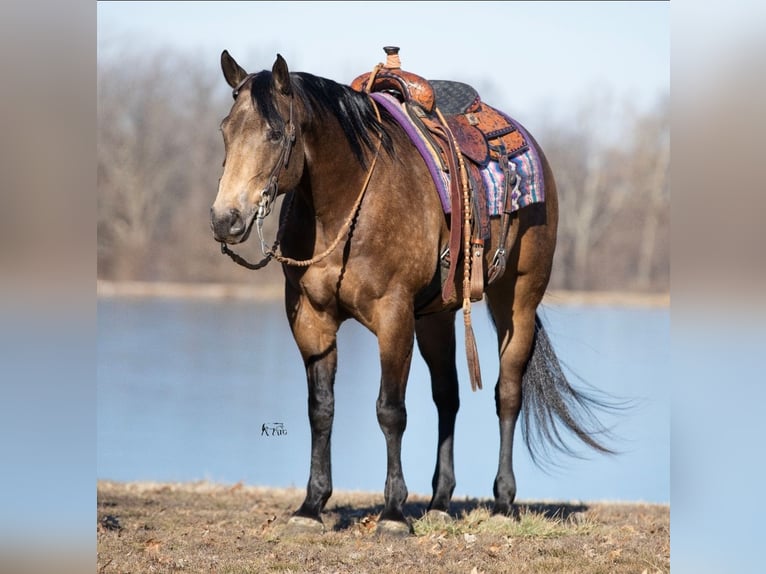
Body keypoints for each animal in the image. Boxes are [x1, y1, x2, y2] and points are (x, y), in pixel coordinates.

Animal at [210, 51, 614, 535]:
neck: (347, 204)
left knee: (508, 394)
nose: (225, 219)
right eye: (225, 130)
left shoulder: (394, 316)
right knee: (448, 397)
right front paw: (311, 506)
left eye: (274, 134)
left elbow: (391, 411)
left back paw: (502, 501)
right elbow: (321, 408)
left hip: (517, 300)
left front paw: (393, 513)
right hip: (437, 316)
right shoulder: (310, 318)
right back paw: (439, 500)